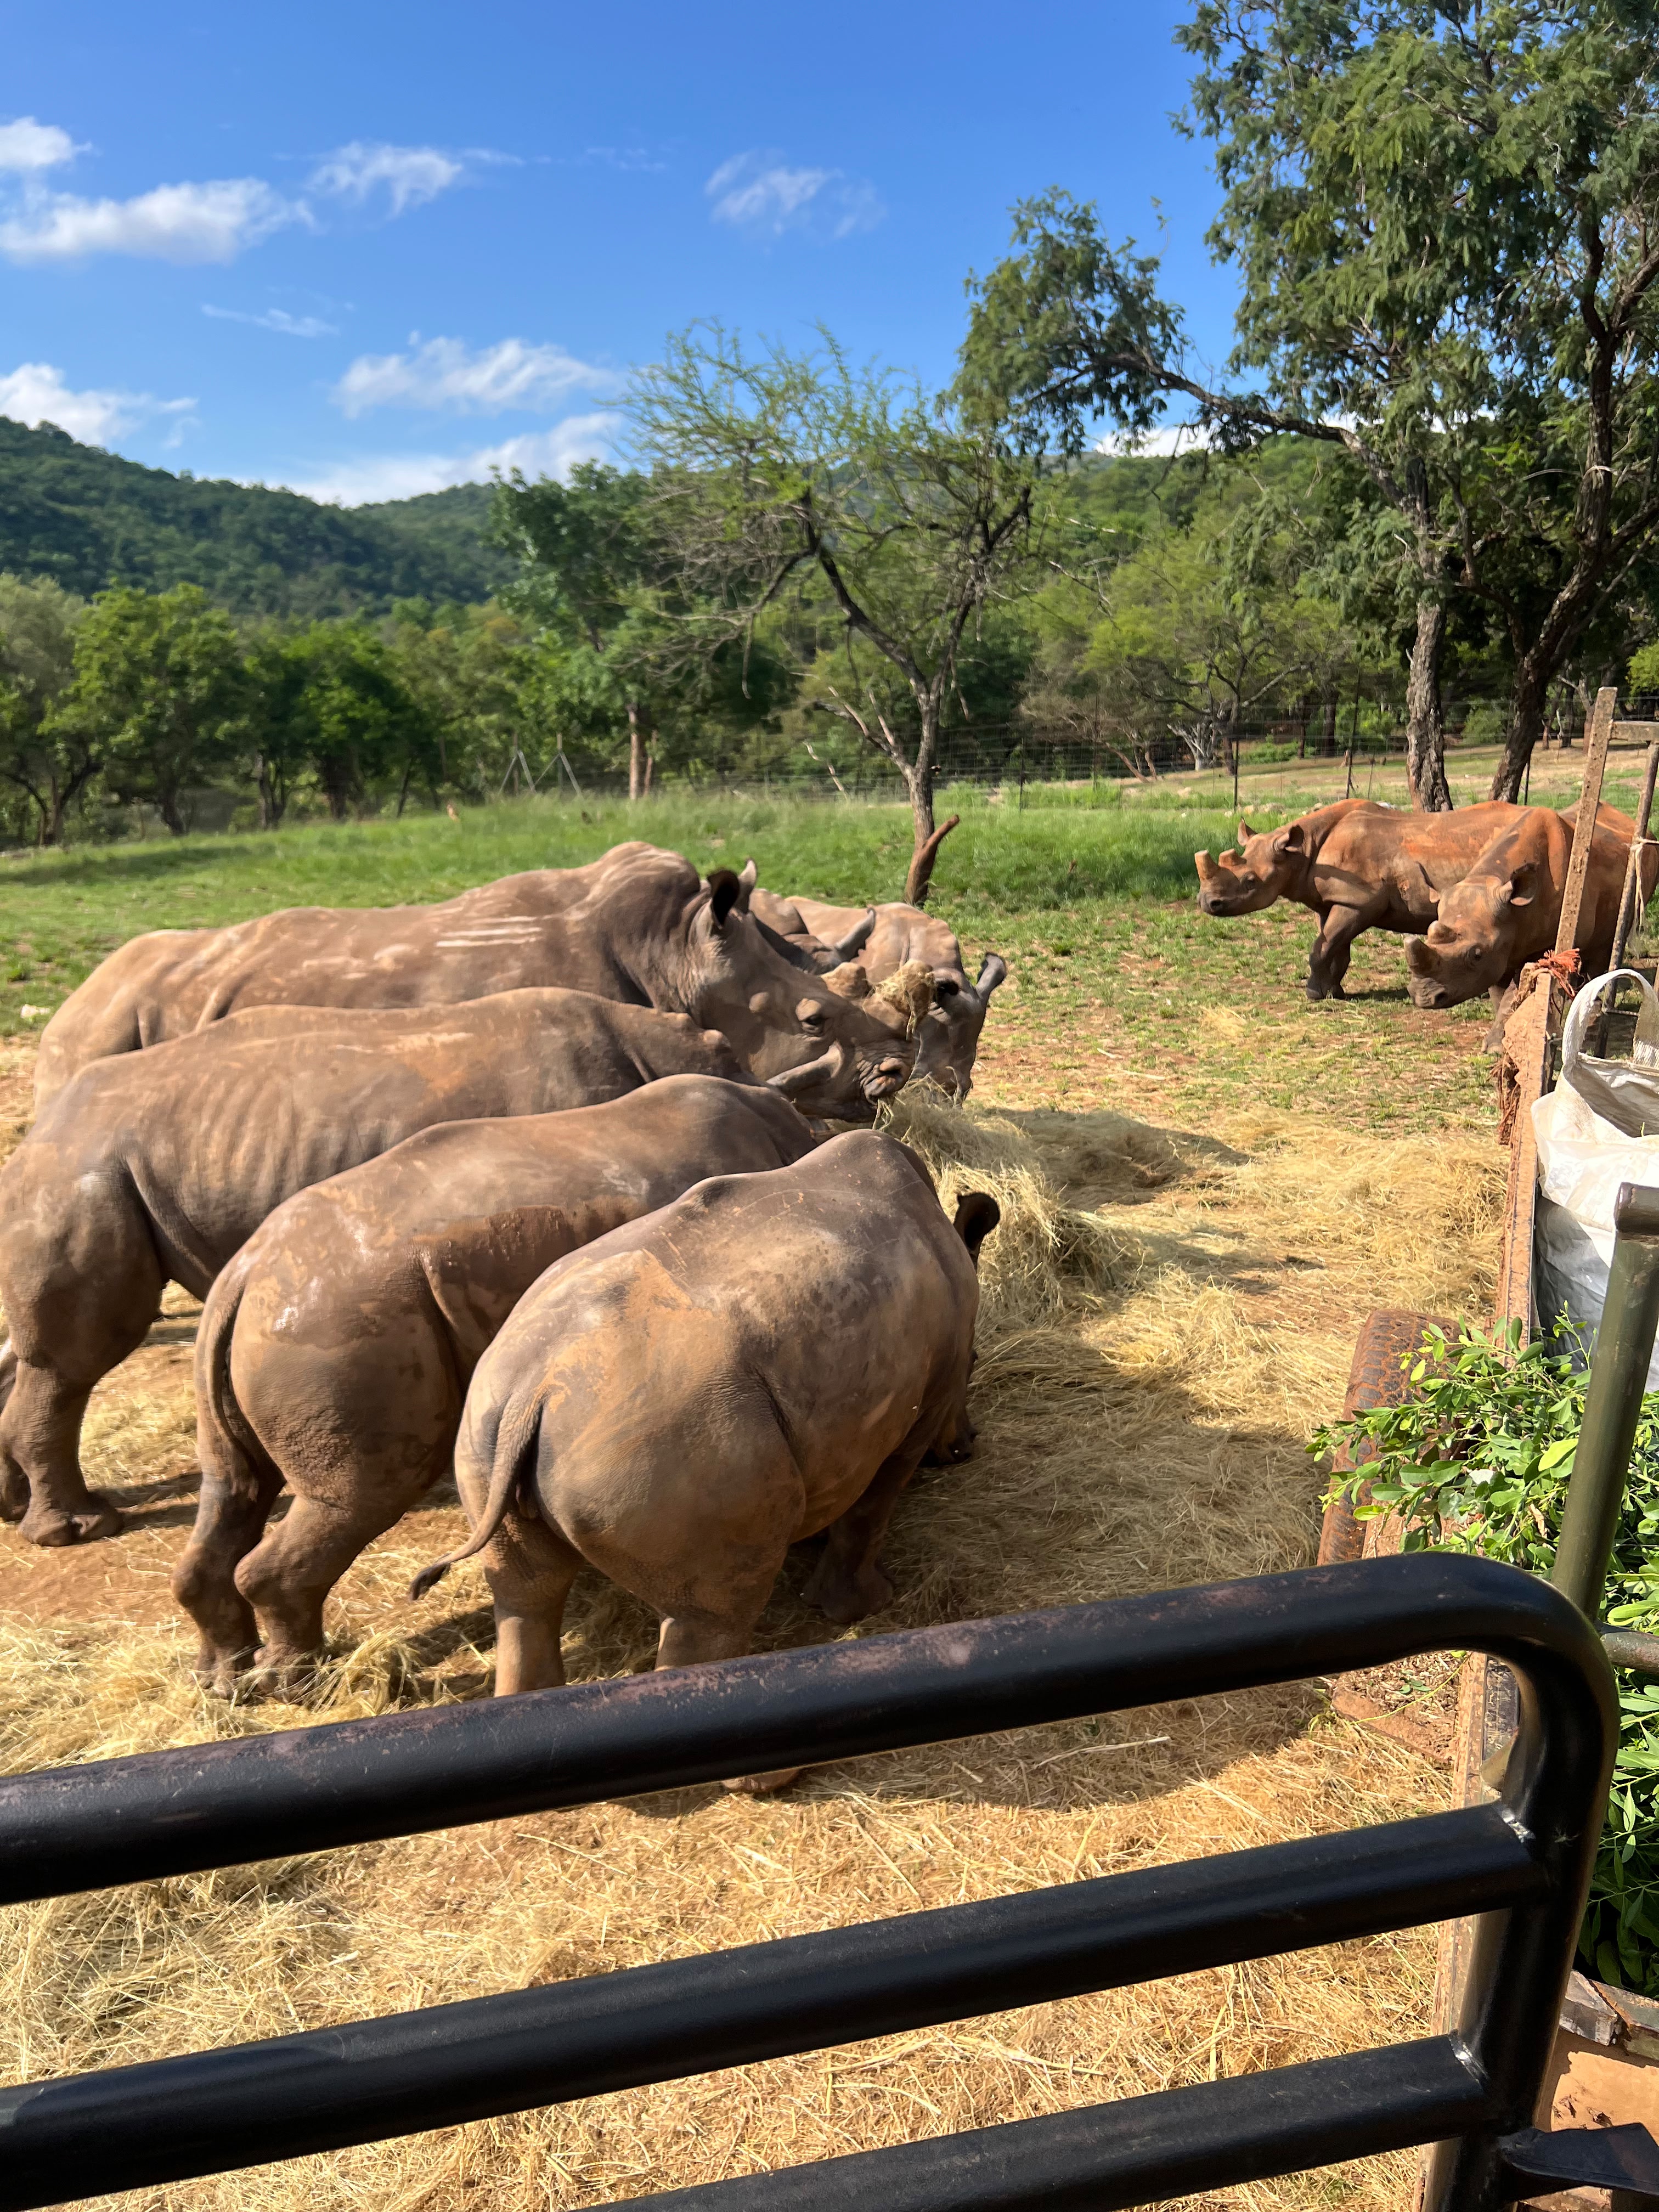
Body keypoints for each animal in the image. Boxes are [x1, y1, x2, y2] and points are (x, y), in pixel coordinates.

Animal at [0, 990, 858, 1550]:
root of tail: (39, 1125)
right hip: (84, 1171)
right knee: (78, 1359)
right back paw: (80, 1529)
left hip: (87, 1172)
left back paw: (25, 1515)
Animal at [179, 1076, 819, 1694]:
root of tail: (245, 1271)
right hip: (339, 1328)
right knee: (356, 1496)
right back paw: (296, 1684)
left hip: (277, 1327)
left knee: (235, 1484)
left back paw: (226, 1680)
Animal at [412, 1132, 999, 1791]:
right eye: (977, 1361)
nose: (967, 1446)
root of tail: (534, 1391)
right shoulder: (918, 1410)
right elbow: (872, 1508)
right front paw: (866, 1606)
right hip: (684, 1438)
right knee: (713, 1615)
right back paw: (776, 1777)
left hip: (493, 1425)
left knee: (523, 1595)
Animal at [1403, 804, 1659, 1042]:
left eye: (1476, 955)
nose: (1424, 998)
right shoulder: (1498, 951)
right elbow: (1499, 993)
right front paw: (1499, 1040)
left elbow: (1517, 990)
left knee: (1604, 948)